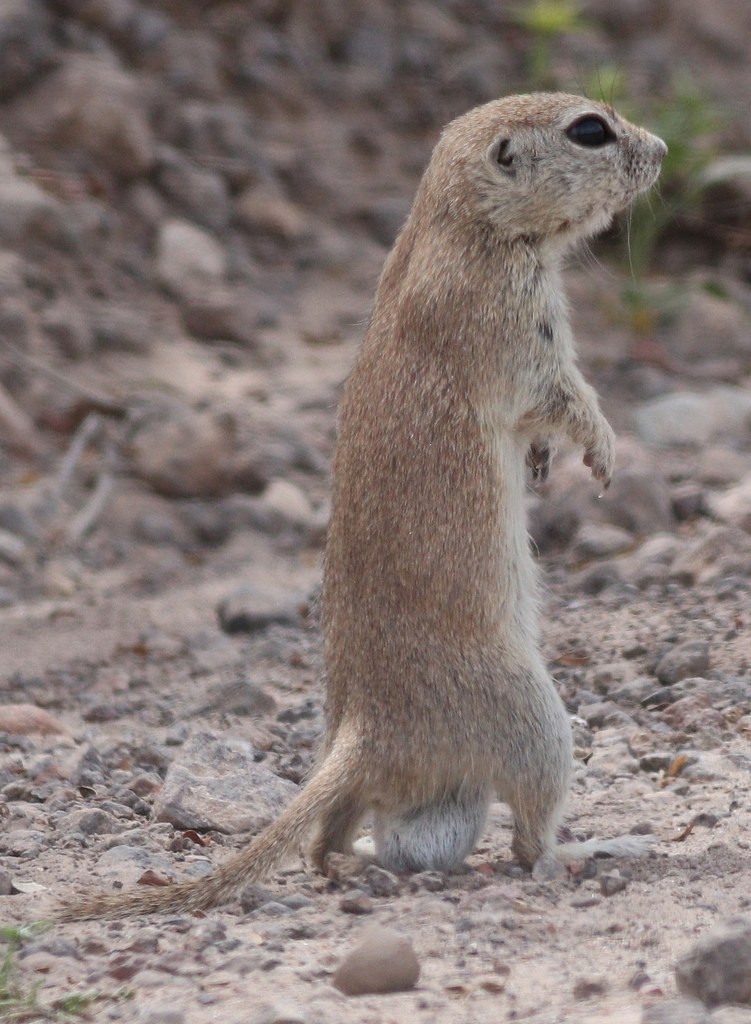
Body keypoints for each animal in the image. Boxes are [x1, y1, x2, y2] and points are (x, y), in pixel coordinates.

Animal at [56, 93, 666, 920]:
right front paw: (601, 450)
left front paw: (546, 461)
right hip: (537, 720)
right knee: (526, 841)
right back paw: (596, 846)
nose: (660, 149)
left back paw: (369, 852)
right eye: (589, 130)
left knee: (329, 843)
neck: (460, 225)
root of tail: (361, 732)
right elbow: (563, 394)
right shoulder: (518, 332)